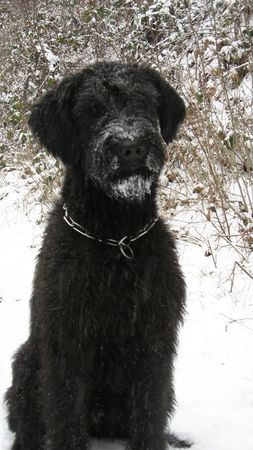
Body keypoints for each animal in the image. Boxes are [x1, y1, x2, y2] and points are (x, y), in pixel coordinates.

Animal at [4, 60, 190, 450]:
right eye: (91, 109)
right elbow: (64, 414)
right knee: (27, 423)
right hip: (26, 365)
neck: (116, 237)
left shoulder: (155, 340)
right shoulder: (67, 341)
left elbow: (149, 415)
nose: (131, 147)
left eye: (143, 101)